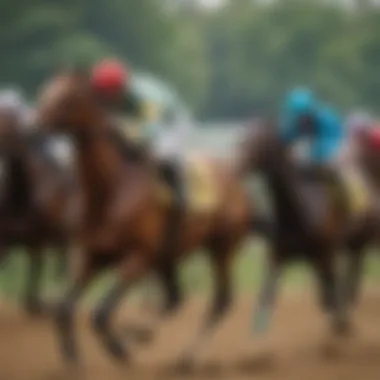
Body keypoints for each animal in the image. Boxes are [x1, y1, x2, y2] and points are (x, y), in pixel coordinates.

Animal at [36, 69, 255, 372]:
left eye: (67, 98)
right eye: (47, 90)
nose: (35, 124)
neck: (112, 188)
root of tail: (237, 178)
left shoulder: (138, 257)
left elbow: (101, 313)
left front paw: (119, 350)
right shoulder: (91, 255)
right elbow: (63, 309)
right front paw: (73, 357)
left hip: (221, 247)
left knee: (220, 301)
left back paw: (186, 355)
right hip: (168, 256)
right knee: (175, 299)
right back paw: (145, 334)